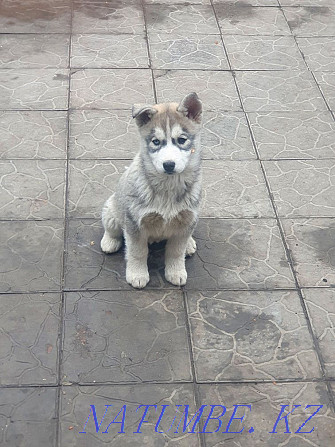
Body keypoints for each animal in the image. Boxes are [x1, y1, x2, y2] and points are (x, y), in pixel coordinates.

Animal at [100, 93, 202, 288]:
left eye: (182, 140)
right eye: (156, 142)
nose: (169, 164)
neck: (168, 187)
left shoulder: (186, 218)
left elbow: (176, 251)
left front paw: (176, 271)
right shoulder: (135, 223)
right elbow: (137, 252)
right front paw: (137, 274)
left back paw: (189, 244)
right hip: (112, 211)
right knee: (112, 228)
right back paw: (109, 241)